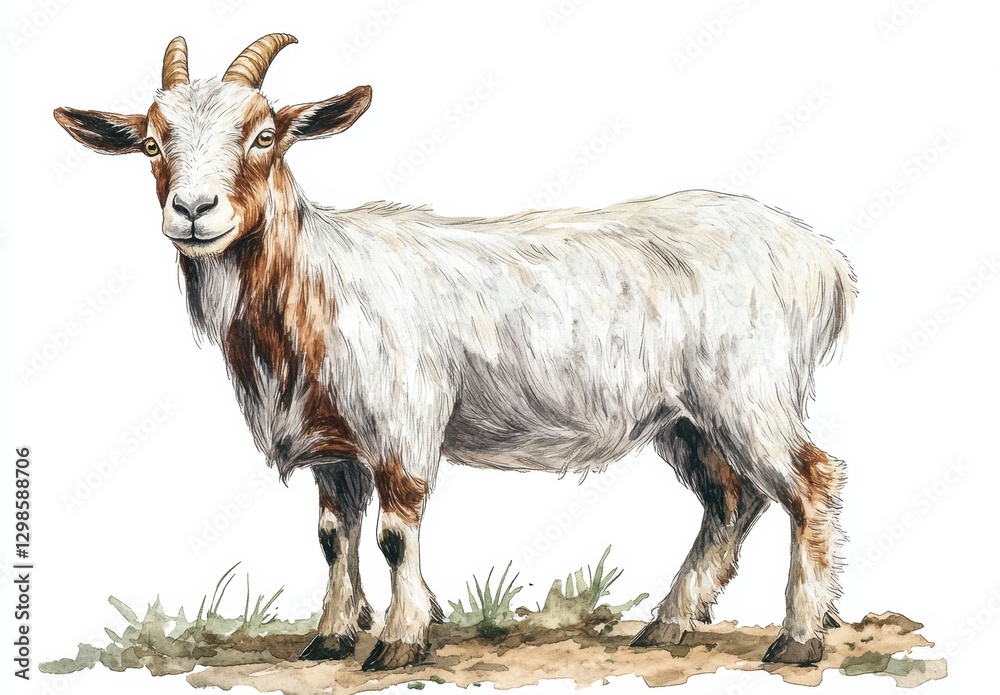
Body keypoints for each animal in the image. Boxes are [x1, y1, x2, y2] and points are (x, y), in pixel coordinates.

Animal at [55, 34, 855, 671]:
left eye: (264, 135)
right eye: (151, 142)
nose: (193, 211)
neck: (314, 284)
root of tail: (824, 260)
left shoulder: (403, 422)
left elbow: (394, 533)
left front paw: (400, 640)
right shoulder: (333, 445)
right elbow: (332, 535)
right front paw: (331, 636)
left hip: (748, 391)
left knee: (809, 481)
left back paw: (798, 637)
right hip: (684, 417)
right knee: (731, 499)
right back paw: (669, 624)